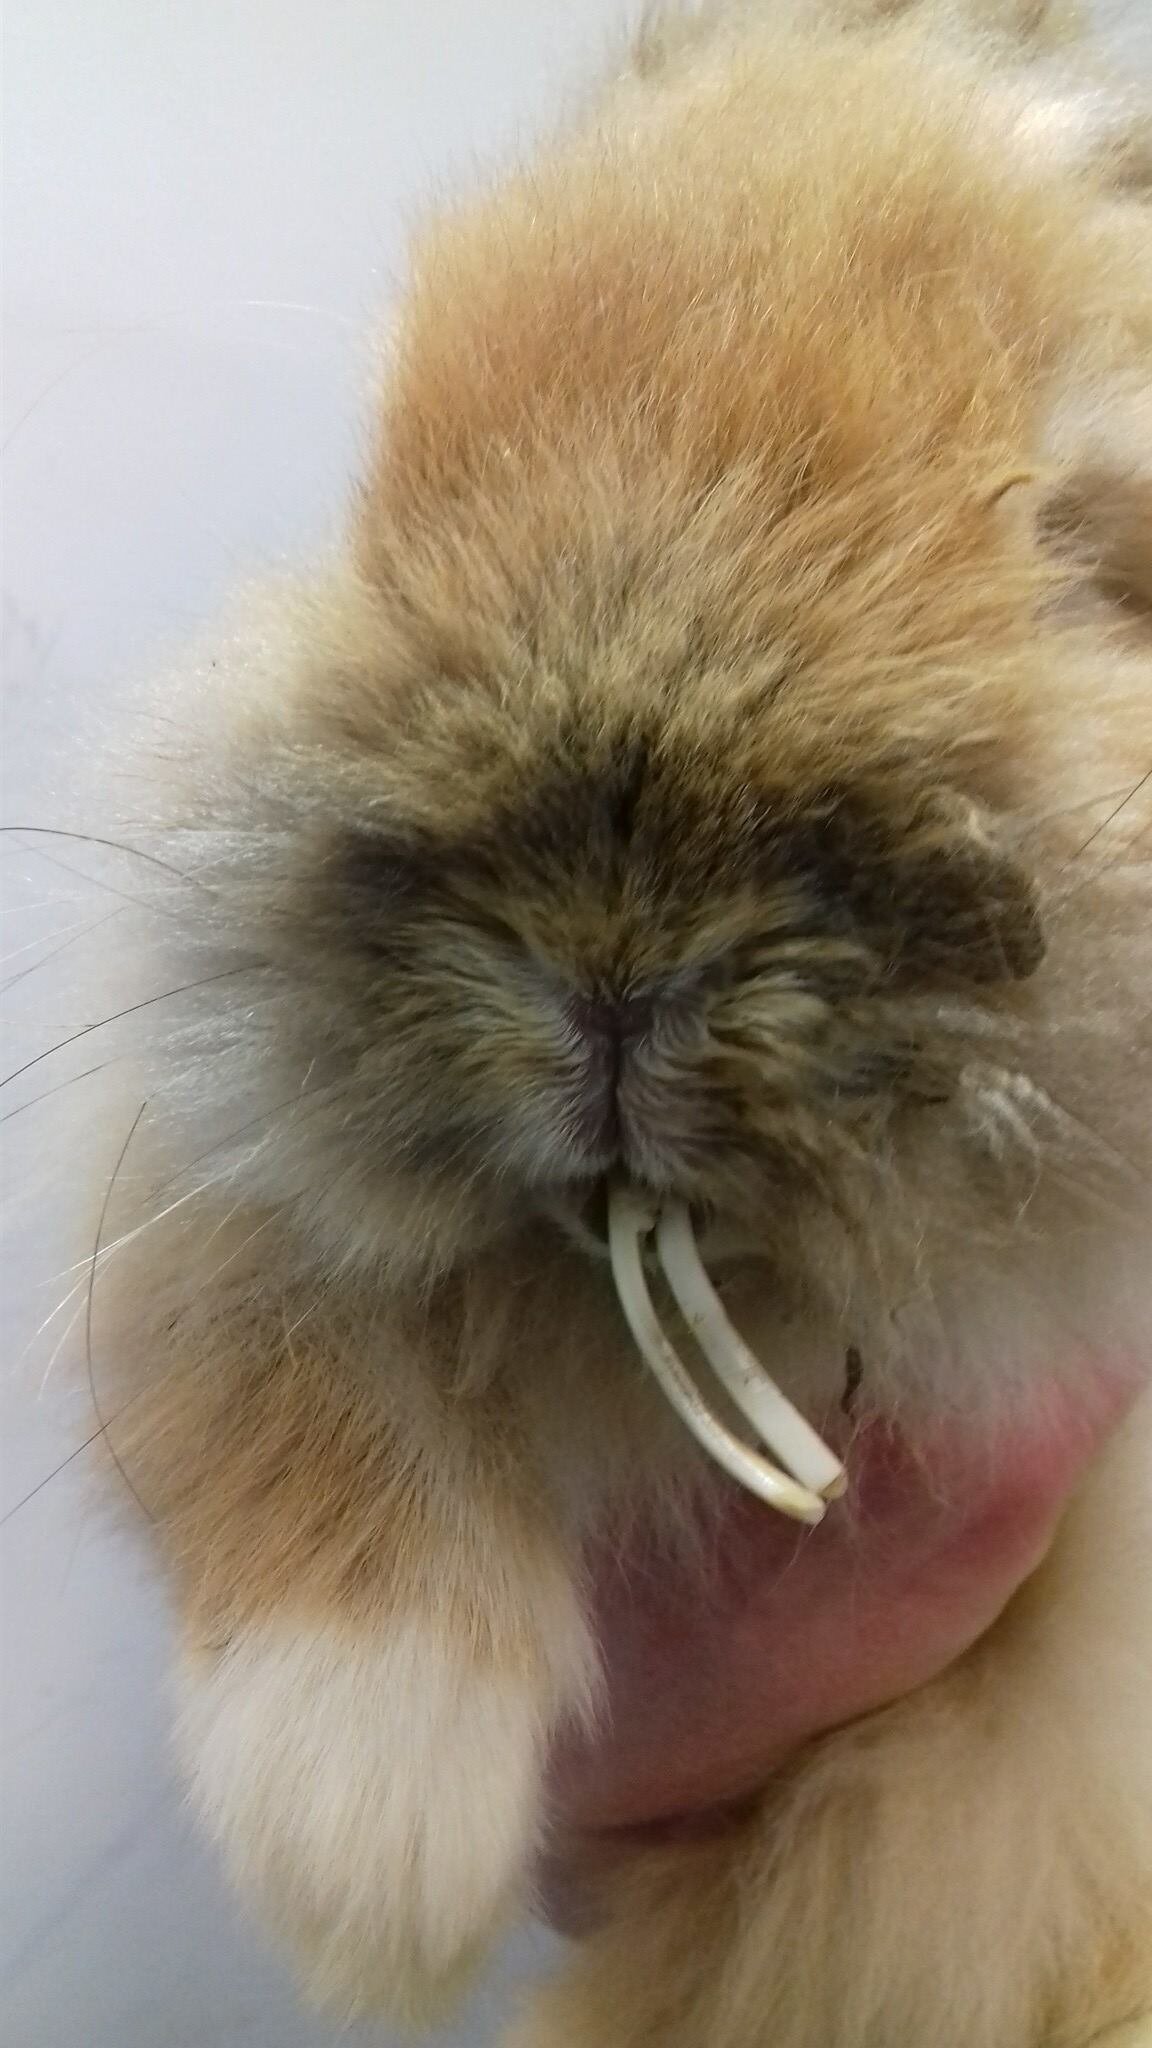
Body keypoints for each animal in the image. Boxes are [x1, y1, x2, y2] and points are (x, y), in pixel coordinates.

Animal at [86, 0, 1152, 2043]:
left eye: (1088, 543)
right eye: (386, 485)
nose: (610, 943)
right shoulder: (193, 1167)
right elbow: (267, 1353)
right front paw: (374, 1836)